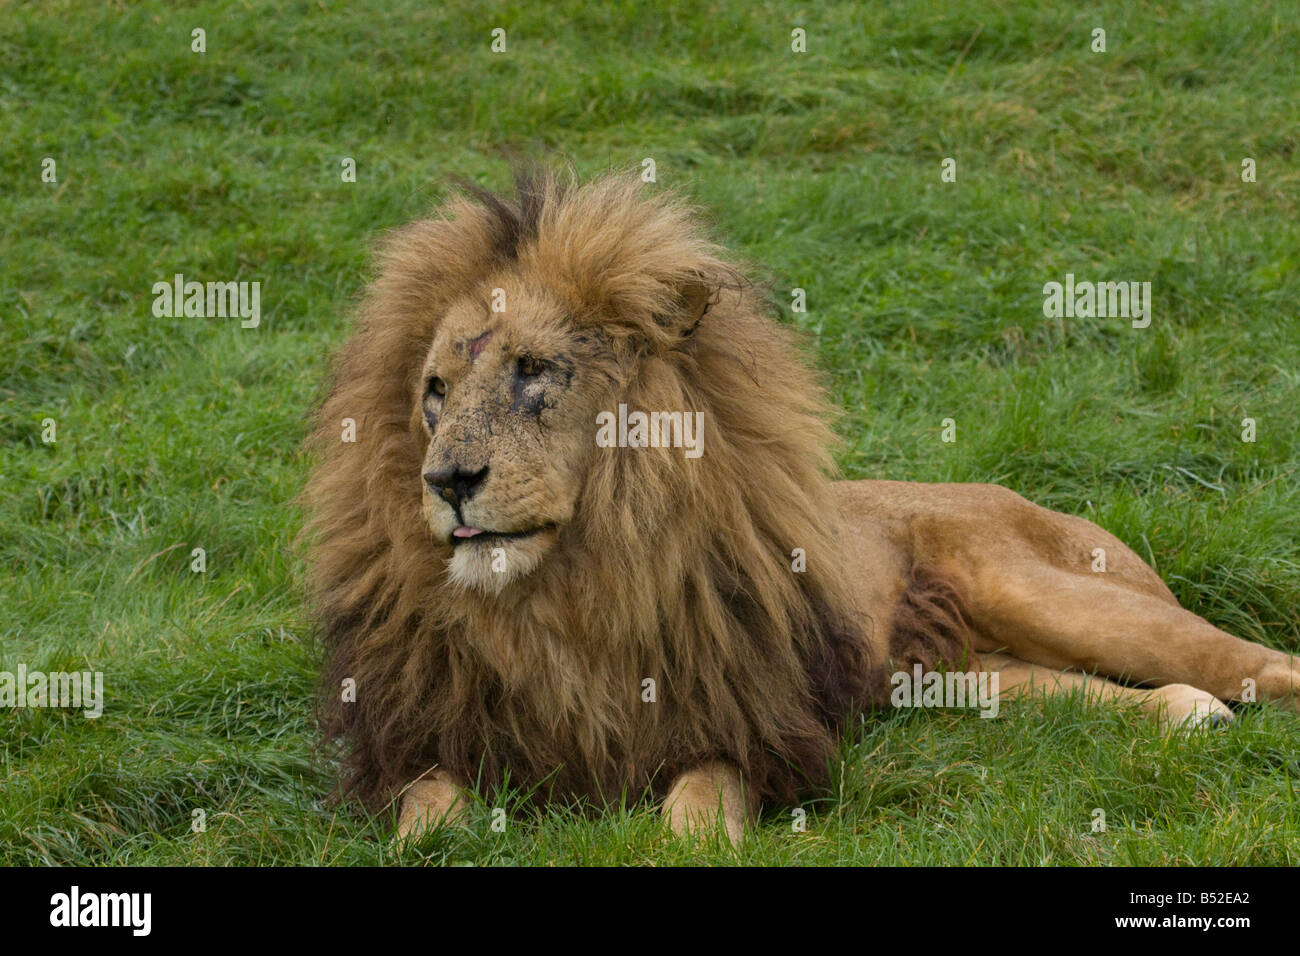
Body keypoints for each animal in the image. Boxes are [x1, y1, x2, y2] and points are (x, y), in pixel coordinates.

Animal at [303, 168, 1299, 845]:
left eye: (534, 371)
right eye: (434, 391)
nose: (447, 480)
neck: (567, 595)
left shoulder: (742, 724)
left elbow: (696, 819)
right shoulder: (424, 735)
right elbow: (426, 819)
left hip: (1060, 596)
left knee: (1259, 661)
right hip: (957, 676)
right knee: (1081, 693)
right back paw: (1187, 715)